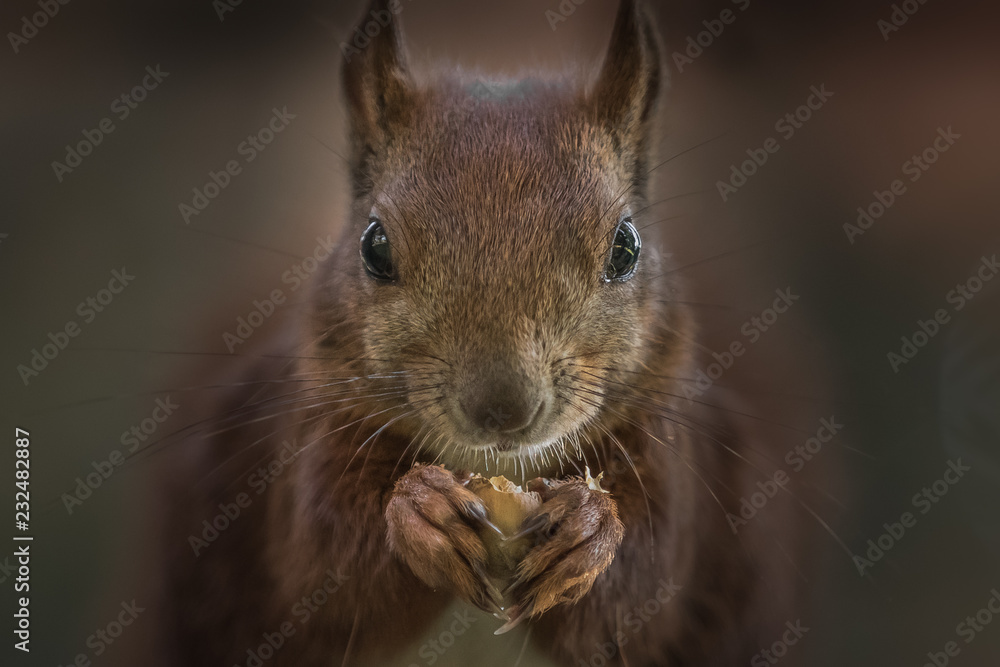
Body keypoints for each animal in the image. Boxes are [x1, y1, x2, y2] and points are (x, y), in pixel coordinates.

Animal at [158, 0, 817, 665]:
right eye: (374, 246)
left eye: (626, 247)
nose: (504, 410)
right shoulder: (306, 442)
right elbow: (319, 572)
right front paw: (420, 511)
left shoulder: (676, 462)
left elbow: (650, 589)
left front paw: (589, 529)